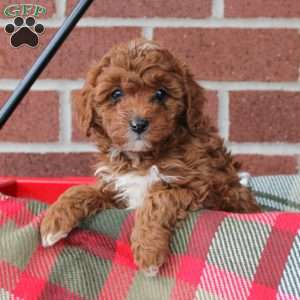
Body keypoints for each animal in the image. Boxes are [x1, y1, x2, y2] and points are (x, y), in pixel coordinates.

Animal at [40, 38, 260, 276]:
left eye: (161, 93)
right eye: (116, 94)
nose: (138, 124)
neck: (142, 158)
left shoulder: (202, 189)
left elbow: (158, 198)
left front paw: (148, 253)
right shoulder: (118, 189)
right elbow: (81, 189)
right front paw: (53, 221)